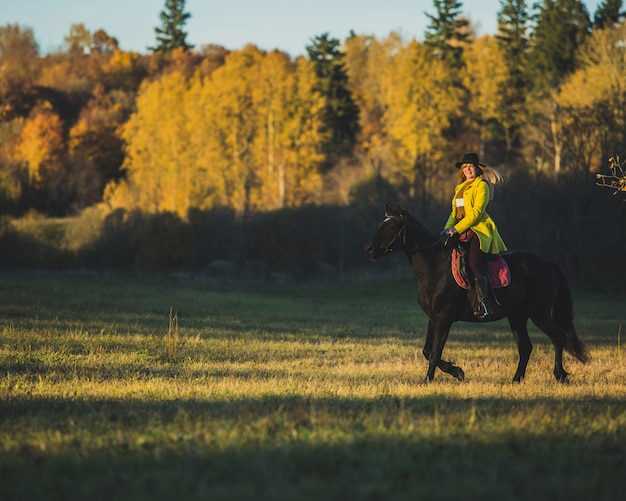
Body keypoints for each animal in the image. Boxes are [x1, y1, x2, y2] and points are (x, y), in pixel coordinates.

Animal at [364, 203, 588, 382]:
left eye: (392, 226)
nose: (369, 250)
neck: (435, 266)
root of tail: (547, 264)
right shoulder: (433, 318)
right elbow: (427, 350)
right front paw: (456, 371)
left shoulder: (445, 318)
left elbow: (435, 351)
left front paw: (429, 380)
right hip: (517, 316)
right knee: (526, 347)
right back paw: (516, 379)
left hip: (539, 313)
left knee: (558, 337)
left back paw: (560, 375)